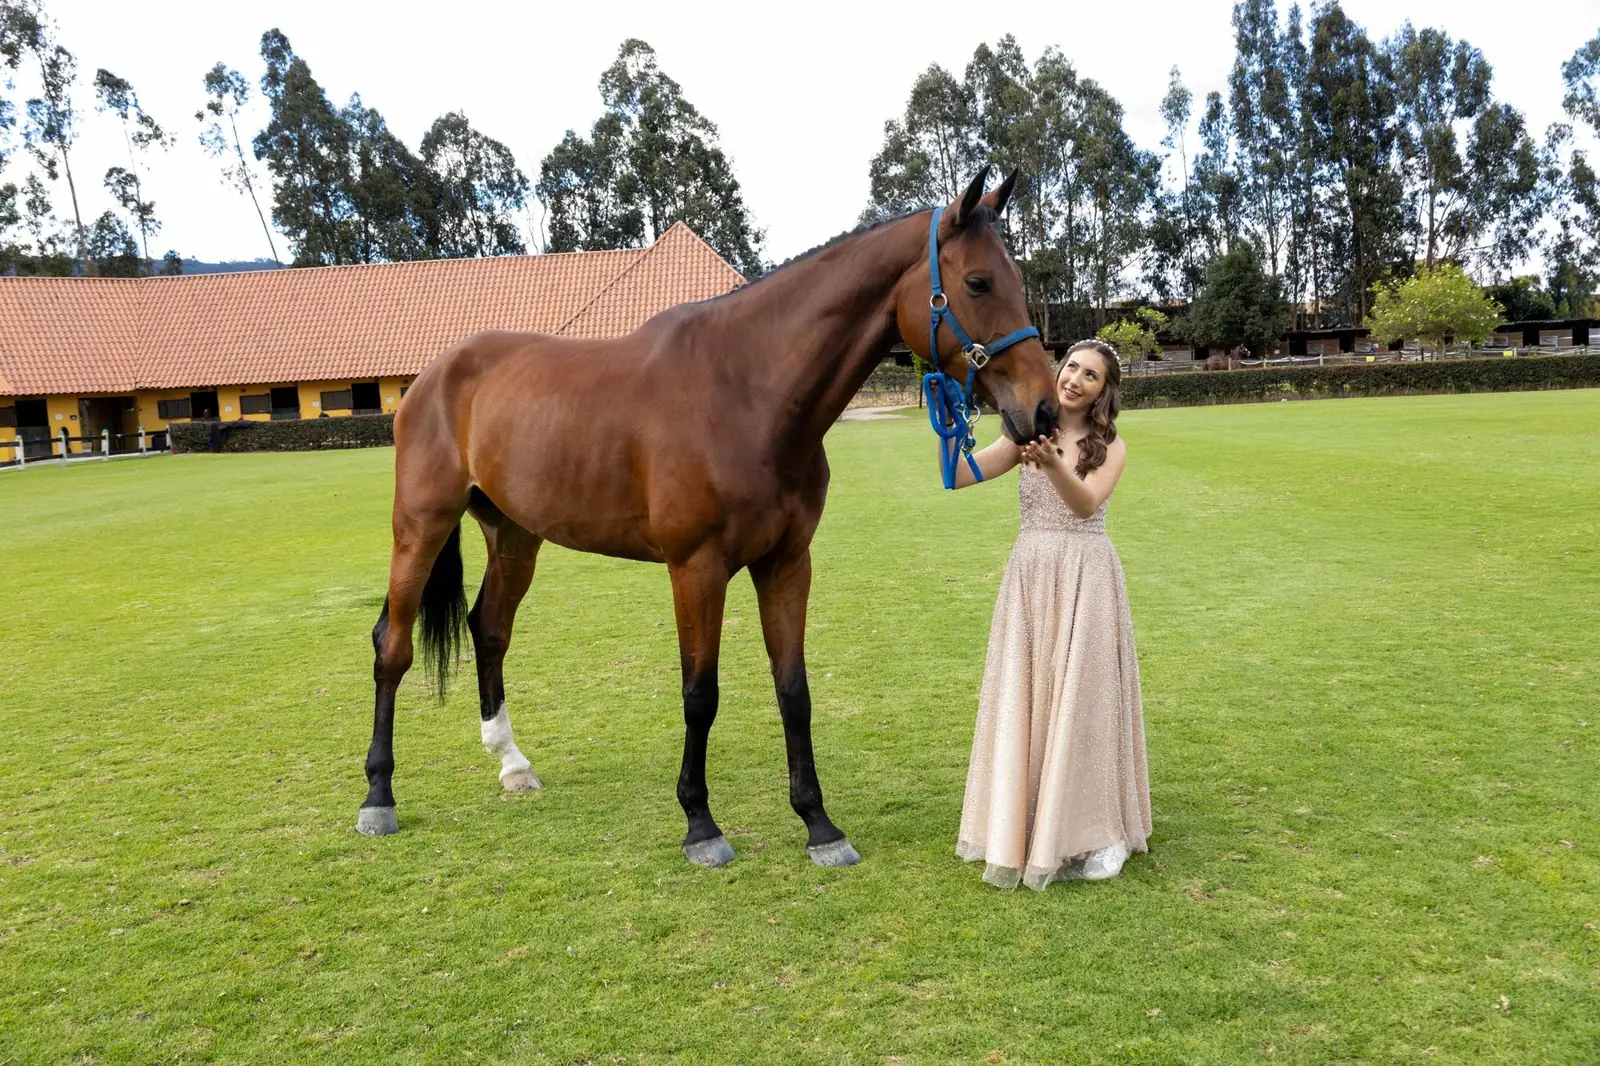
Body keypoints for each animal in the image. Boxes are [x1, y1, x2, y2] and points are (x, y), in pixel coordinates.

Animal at [358, 167, 1060, 868]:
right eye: (978, 282)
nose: (1045, 410)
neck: (747, 393)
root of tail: (433, 376)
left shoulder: (786, 564)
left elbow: (793, 690)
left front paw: (819, 825)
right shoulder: (696, 569)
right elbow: (701, 694)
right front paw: (701, 824)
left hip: (513, 535)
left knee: (490, 630)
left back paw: (512, 764)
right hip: (421, 526)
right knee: (392, 646)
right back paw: (378, 797)